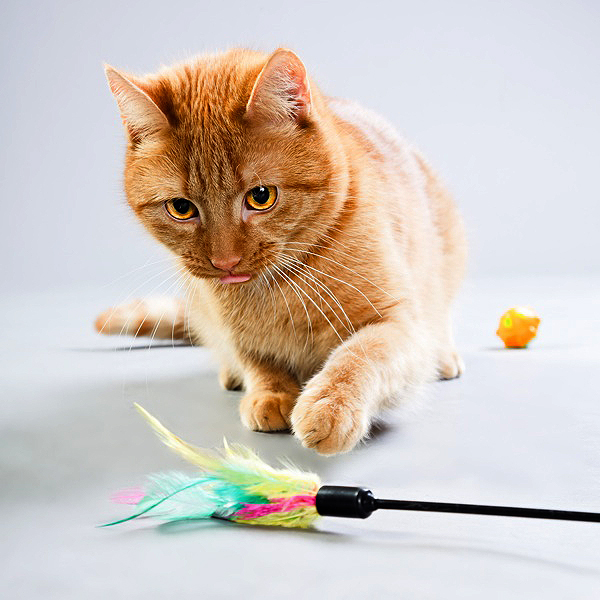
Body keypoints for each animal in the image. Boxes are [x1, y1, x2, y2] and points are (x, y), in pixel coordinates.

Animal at [96, 48, 466, 454]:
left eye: (261, 197)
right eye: (181, 208)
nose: (225, 261)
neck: (280, 290)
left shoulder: (398, 323)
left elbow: (360, 355)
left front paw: (330, 405)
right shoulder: (231, 329)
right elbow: (257, 360)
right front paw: (270, 393)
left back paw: (444, 357)